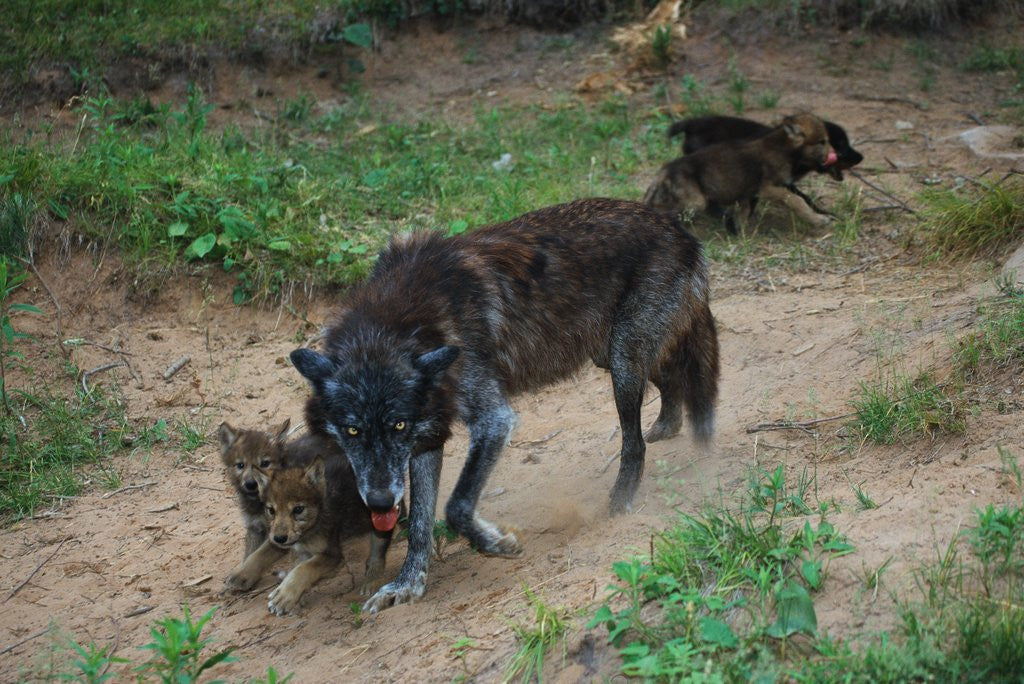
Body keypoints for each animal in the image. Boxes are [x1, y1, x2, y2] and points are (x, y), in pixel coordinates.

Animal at [223, 433, 397, 615]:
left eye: (298, 509)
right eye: (271, 510)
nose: (279, 538)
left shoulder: (331, 554)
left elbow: (304, 569)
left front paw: (284, 595)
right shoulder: (298, 550)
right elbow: (282, 561)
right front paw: (295, 599)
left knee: (380, 546)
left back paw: (373, 578)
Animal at [290, 197, 720, 613]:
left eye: (397, 425)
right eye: (352, 430)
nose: (380, 503)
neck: (402, 321)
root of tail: (677, 228)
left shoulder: (493, 420)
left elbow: (456, 506)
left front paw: (496, 543)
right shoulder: (426, 440)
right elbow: (420, 524)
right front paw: (408, 585)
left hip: (622, 361)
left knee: (635, 442)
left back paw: (621, 500)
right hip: (610, 356)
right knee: (668, 379)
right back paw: (667, 425)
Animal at [645, 113, 836, 233]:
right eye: (822, 142)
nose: (833, 156)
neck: (785, 149)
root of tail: (666, 168)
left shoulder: (751, 192)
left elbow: (744, 212)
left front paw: (739, 232)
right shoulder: (767, 188)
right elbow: (797, 201)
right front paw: (818, 220)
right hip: (695, 202)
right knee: (665, 210)